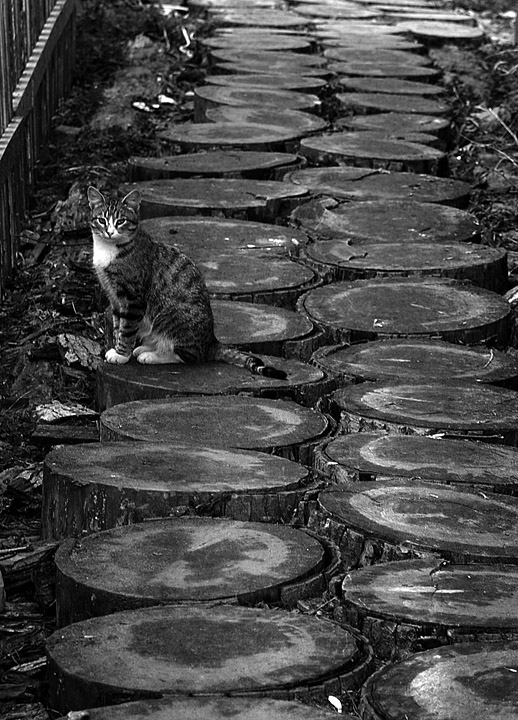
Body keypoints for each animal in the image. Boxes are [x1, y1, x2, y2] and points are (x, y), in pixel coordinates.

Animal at [87, 186, 287, 379]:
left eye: (121, 221)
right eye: (102, 220)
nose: (109, 232)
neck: (109, 249)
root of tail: (211, 341)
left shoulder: (133, 299)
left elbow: (127, 328)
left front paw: (121, 354)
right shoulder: (114, 297)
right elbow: (117, 325)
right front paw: (117, 348)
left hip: (169, 317)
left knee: (188, 355)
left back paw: (152, 355)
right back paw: (146, 347)